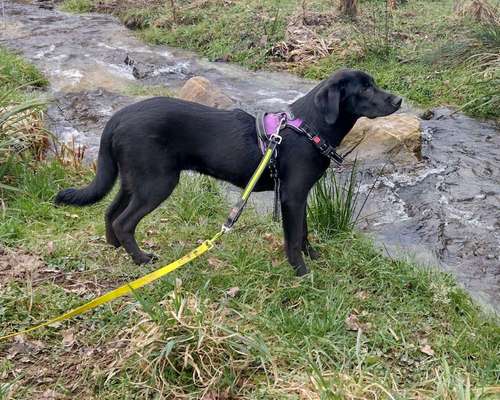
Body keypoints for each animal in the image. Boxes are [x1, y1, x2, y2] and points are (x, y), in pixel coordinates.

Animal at [56, 69, 402, 276]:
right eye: (365, 89)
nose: (398, 99)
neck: (309, 127)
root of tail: (118, 117)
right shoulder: (292, 196)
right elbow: (292, 239)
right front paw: (301, 271)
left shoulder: (299, 196)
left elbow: (303, 232)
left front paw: (314, 257)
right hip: (157, 182)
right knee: (124, 221)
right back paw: (141, 259)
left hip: (132, 179)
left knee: (110, 212)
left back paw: (115, 247)